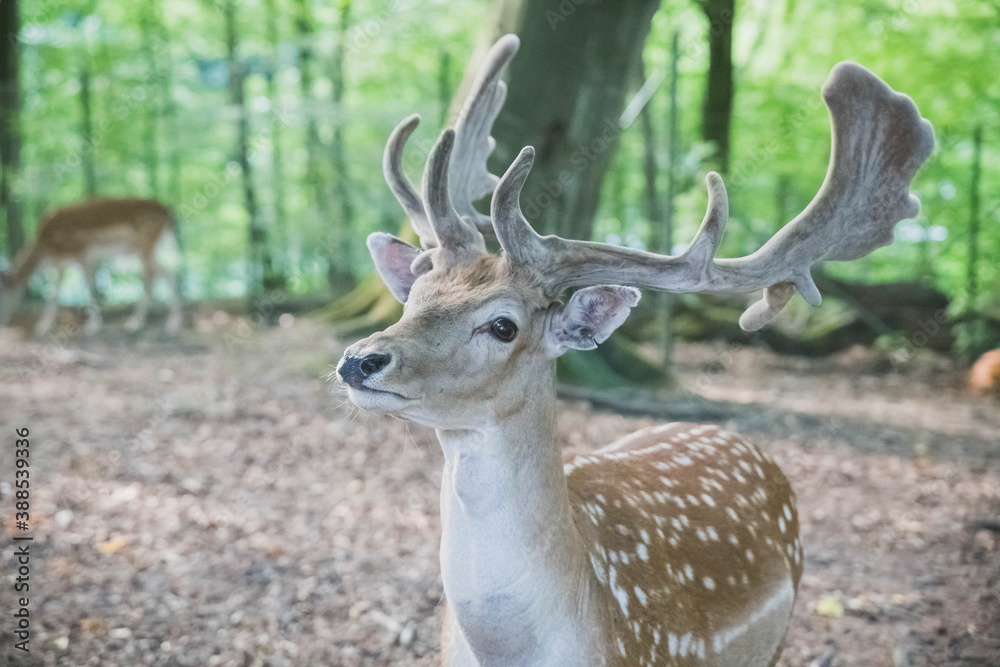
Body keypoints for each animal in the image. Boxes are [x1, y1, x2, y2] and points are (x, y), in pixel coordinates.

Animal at [0, 197, 184, 334]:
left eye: (2, 293)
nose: (3, 322)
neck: (44, 251)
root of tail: (167, 210)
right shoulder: (61, 264)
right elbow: (53, 294)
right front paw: (43, 327)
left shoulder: (82, 254)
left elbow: (87, 289)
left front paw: (94, 326)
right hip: (149, 247)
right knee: (167, 272)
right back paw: (173, 323)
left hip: (145, 245)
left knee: (150, 278)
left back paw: (135, 323)